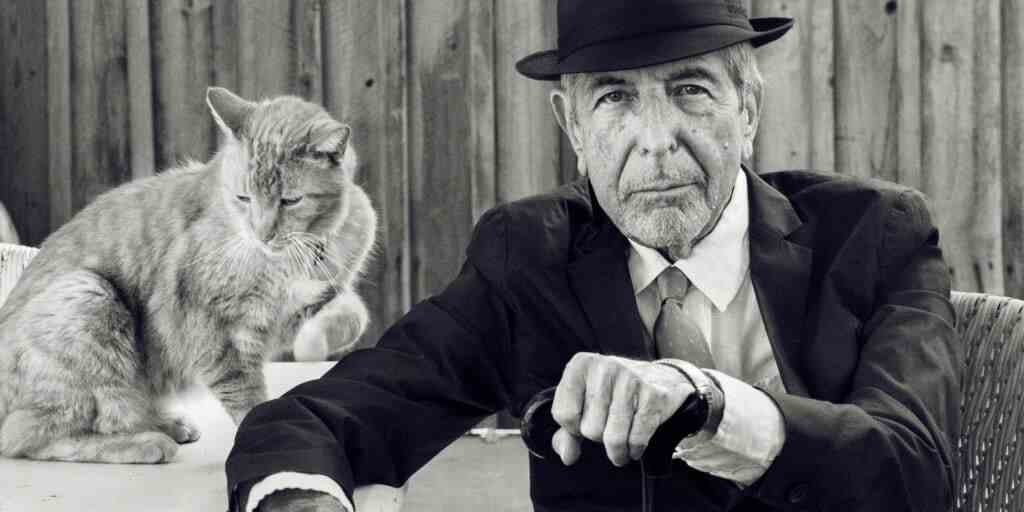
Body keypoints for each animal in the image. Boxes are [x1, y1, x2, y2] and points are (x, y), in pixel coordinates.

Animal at [0, 88, 376, 464]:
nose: (262, 233)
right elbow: (247, 397)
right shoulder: (215, 330)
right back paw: (145, 442)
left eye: (290, 201)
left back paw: (166, 424)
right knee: (34, 433)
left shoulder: (316, 299)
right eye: (244, 198)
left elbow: (350, 312)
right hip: (88, 294)